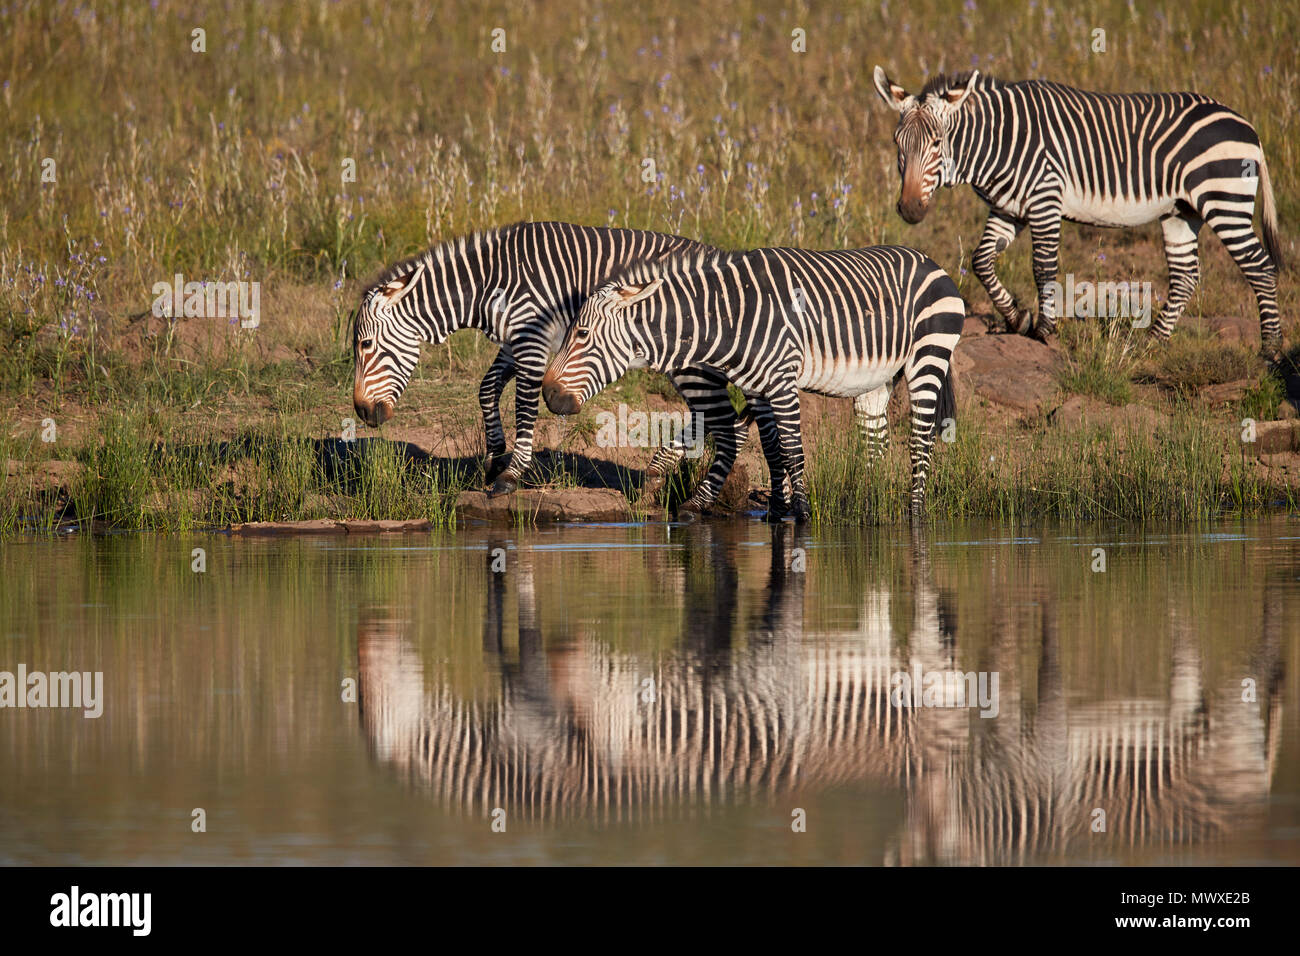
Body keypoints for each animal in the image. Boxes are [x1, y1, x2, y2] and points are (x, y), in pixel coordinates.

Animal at [538, 243, 967, 520]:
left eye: (582, 334)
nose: (549, 394)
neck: (729, 316)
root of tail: (932, 262)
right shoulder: (757, 388)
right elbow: (773, 450)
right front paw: (777, 511)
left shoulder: (781, 381)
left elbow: (793, 451)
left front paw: (802, 517)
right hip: (877, 381)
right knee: (875, 444)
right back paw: (866, 506)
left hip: (927, 356)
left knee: (920, 441)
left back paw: (915, 514)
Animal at [868, 68, 1284, 351]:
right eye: (897, 142)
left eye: (937, 142)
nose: (909, 210)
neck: (1000, 141)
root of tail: (1247, 126)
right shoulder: (1008, 210)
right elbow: (981, 261)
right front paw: (1017, 317)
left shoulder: (1044, 200)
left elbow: (1043, 267)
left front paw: (1044, 330)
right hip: (1181, 212)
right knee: (1186, 276)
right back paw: (1151, 340)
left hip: (1224, 201)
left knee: (1260, 268)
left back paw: (1271, 349)